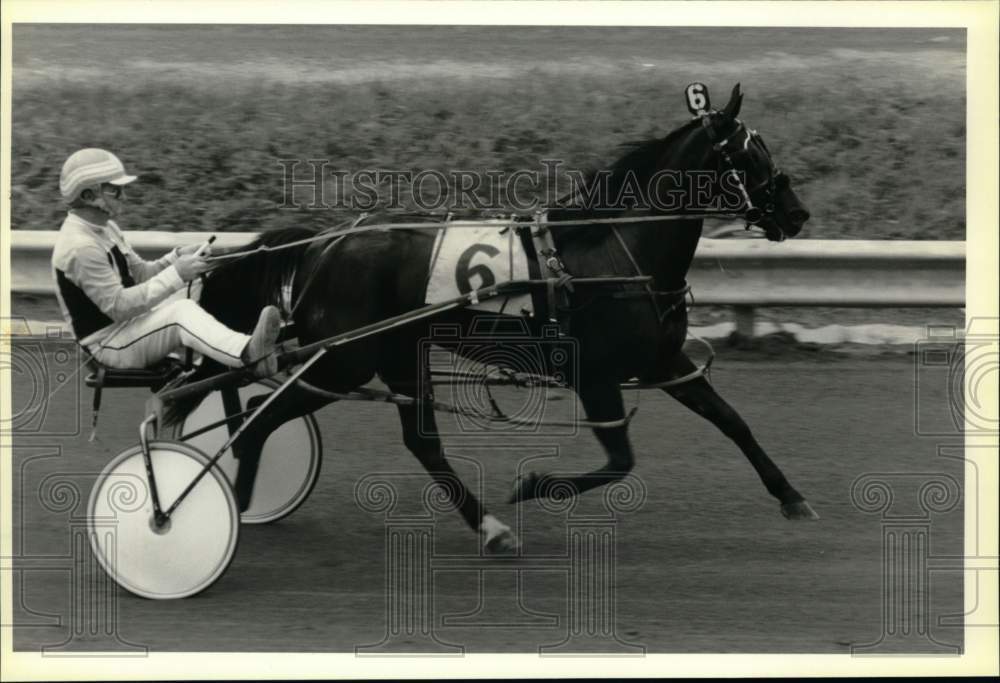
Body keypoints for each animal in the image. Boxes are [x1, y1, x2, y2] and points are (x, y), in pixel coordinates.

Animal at [176, 84, 816, 556]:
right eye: (750, 155)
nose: (797, 213)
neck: (614, 252)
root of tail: (323, 245)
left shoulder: (662, 359)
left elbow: (731, 421)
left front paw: (791, 496)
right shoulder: (596, 374)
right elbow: (620, 462)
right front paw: (534, 483)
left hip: (396, 355)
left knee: (420, 443)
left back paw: (488, 528)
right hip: (343, 361)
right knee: (259, 420)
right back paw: (229, 505)